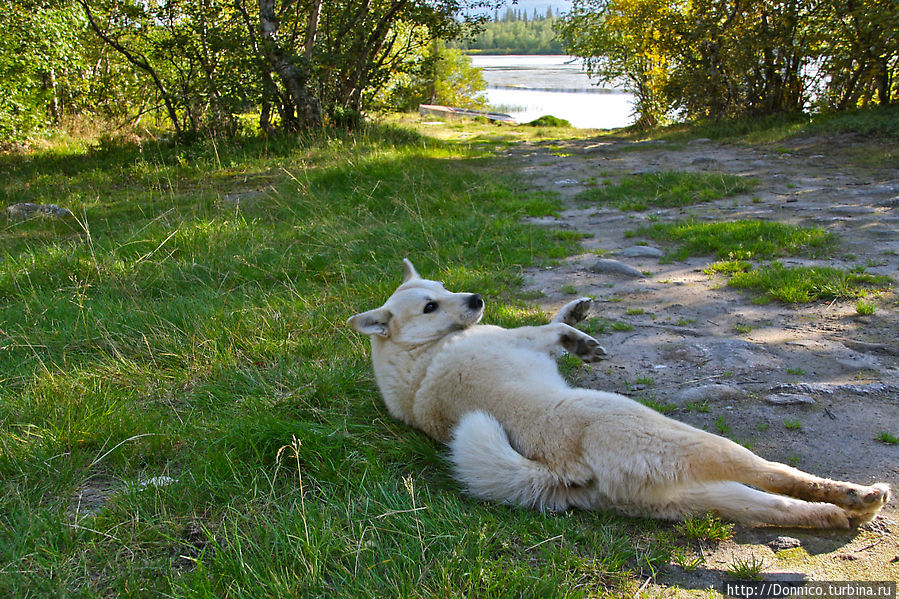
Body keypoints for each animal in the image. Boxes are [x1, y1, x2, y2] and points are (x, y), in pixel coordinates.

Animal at [348, 260, 888, 528]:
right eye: (431, 305)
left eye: (442, 288)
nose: (477, 299)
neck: (413, 353)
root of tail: (550, 474)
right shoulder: (525, 338)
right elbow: (551, 327)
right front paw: (579, 337)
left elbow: (557, 321)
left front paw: (577, 318)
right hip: (684, 440)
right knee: (774, 475)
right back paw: (851, 494)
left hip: (695, 495)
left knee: (776, 508)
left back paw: (840, 513)